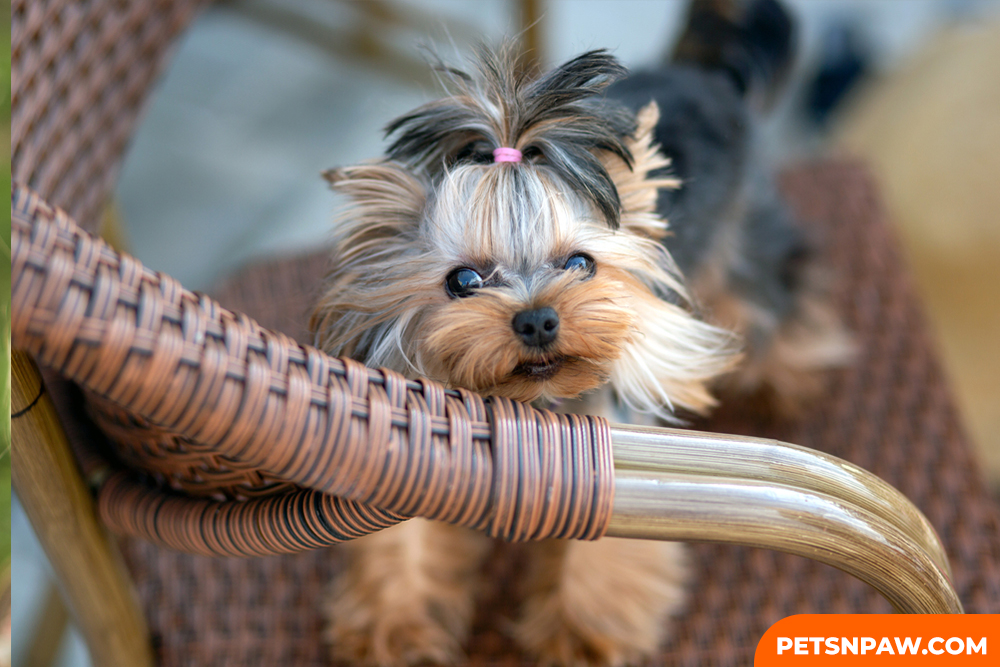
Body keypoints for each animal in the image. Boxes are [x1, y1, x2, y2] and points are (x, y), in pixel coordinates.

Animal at [308, 2, 848, 664]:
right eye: (463, 281)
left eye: (579, 264)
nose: (538, 319)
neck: (526, 403)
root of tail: (706, 76)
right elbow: (399, 529)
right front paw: (391, 626)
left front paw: (577, 635)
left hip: (741, 241)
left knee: (777, 297)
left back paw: (791, 382)